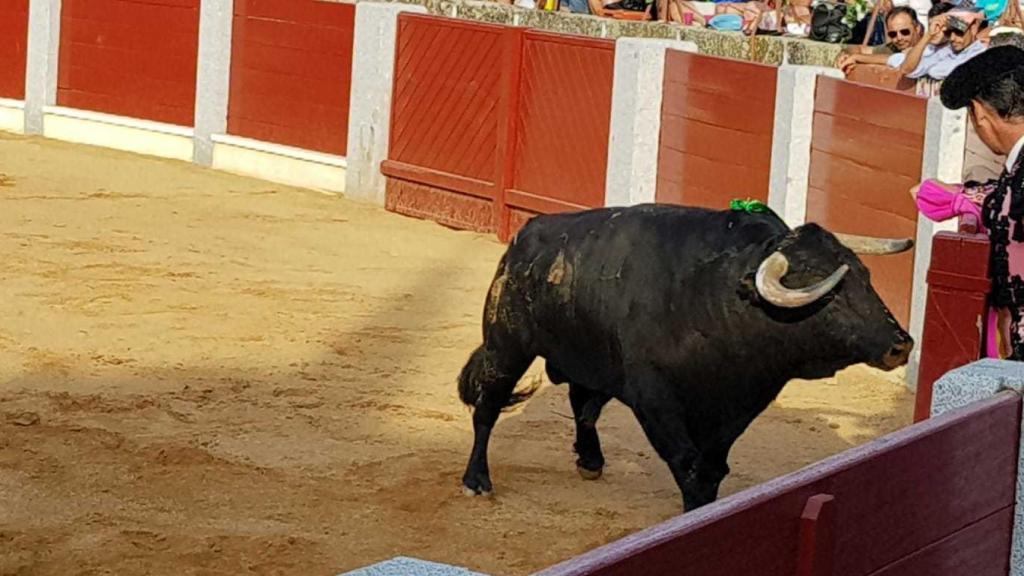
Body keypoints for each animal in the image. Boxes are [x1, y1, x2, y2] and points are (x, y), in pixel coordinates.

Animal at [456, 203, 913, 508]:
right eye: (830, 293)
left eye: (866, 277)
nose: (902, 345)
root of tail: (526, 234)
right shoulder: (654, 399)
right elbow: (688, 464)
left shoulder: (740, 405)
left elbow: (714, 466)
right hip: (506, 346)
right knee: (489, 407)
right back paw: (477, 480)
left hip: (590, 359)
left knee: (583, 404)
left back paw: (590, 459)